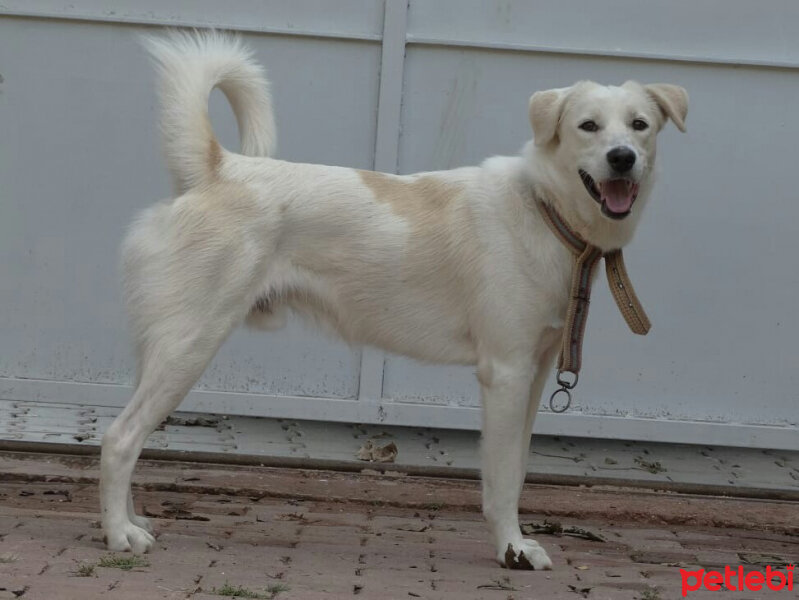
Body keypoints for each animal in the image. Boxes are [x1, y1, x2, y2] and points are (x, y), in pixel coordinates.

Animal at [100, 30, 688, 568]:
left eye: (640, 125)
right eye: (588, 126)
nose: (622, 157)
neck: (544, 208)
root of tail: (219, 168)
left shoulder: (536, 373)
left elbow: (518, 469)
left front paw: (514, 542)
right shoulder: (506, 374)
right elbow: (501, 479)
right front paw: (513, 549)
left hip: (161, 350)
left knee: (126, 434)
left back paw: (127, 520)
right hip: (189, 347)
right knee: (119, 439)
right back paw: (119, 537)